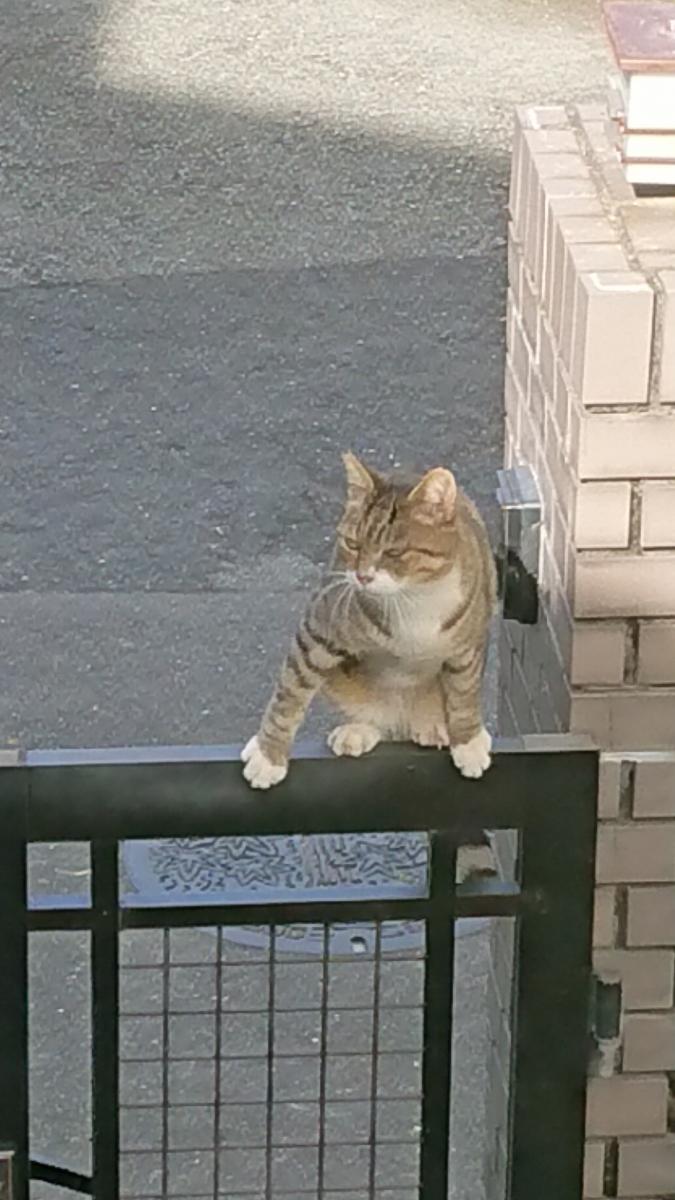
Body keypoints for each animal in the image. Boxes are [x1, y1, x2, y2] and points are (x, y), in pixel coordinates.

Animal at [242, 452, 496, 790]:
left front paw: (467, 742)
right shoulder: (319, 631)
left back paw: (434, 726)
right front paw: (267, 756)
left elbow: (464, 693)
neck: (412, 598)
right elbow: (289, 694)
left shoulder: (467, 647)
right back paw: (358, 730)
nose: (362, 577)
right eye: (352, 543)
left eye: (394, 552)